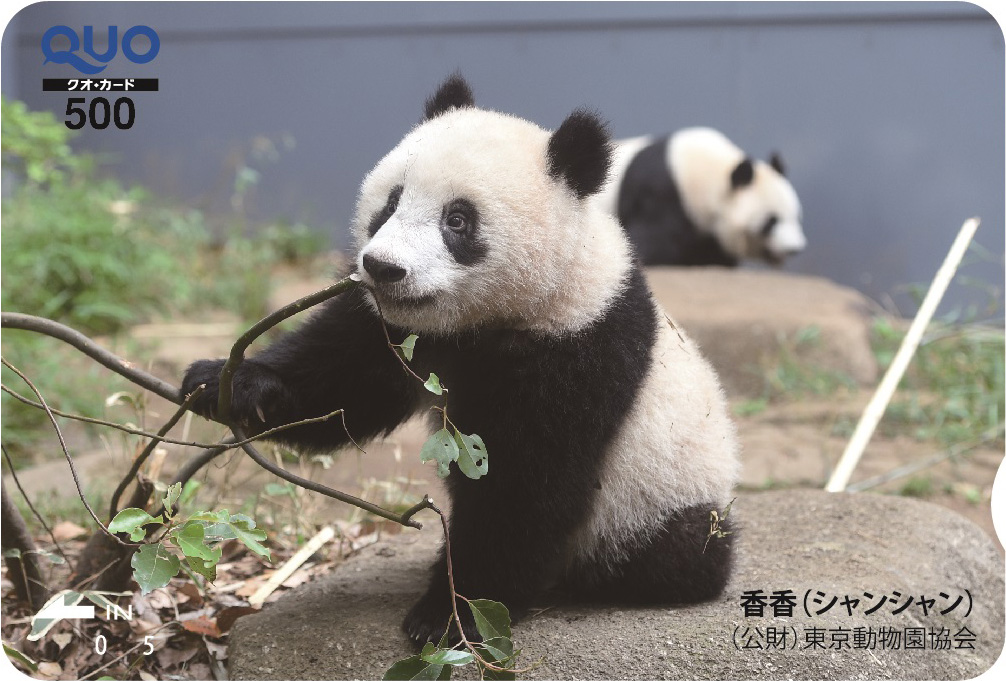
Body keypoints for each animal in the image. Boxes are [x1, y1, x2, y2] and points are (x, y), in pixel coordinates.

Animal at [185, 74, 744, 643]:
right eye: (391, 203)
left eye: (457, 220)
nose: (383, 267)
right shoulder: (393, 328)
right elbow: (344, 383)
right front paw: (228, 385)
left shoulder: (579, 343)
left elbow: (525, 483)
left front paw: (452, 614)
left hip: (658, 498)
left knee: (675, 552)